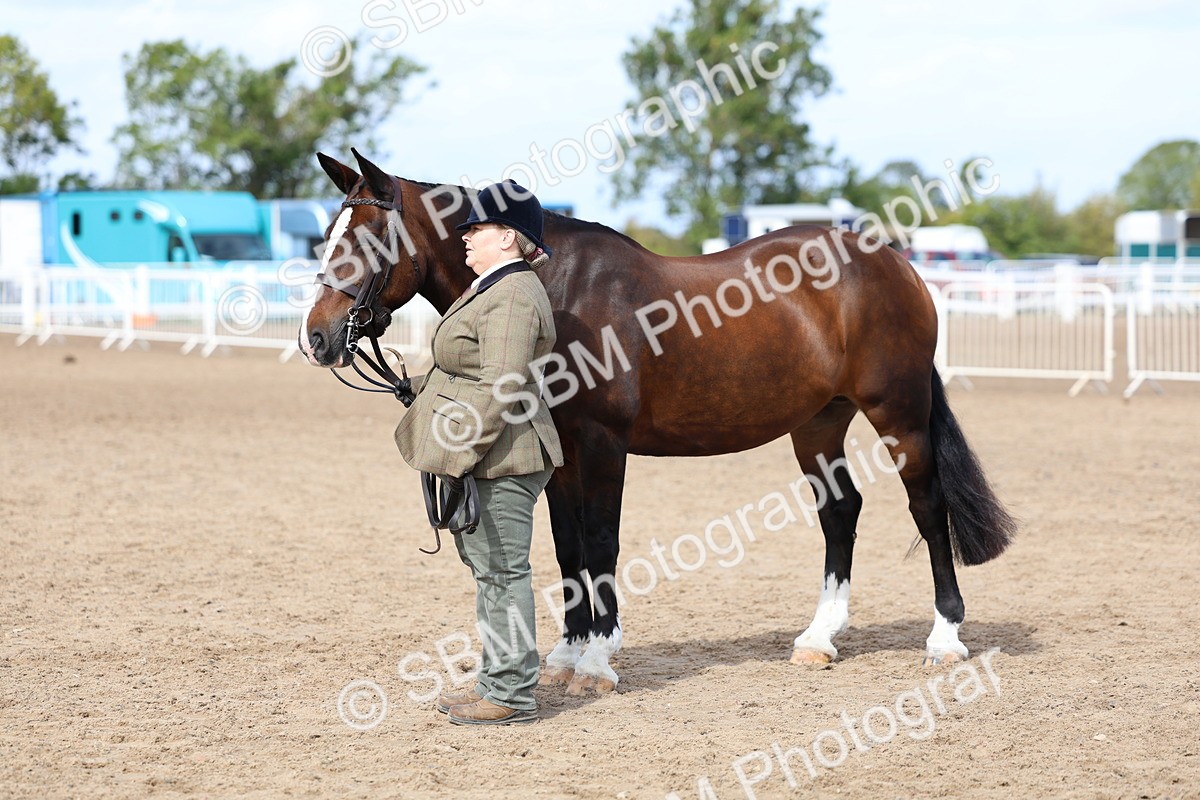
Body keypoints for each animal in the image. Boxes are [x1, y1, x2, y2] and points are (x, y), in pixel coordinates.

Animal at [299, 149, 1015, 695]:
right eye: (327, 236)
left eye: (365, 240)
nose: (318, 338)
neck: (554, 286)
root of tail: (893, 261)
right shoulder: (560, 451)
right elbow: (566, 546)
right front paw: (566, 654)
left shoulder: (602, 447)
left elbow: (601, 543)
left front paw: (596, 661)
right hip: (819, 423)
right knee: (841, 513)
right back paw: (819, 638)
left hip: (899, 413)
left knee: (928, 506)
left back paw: (945, 637)